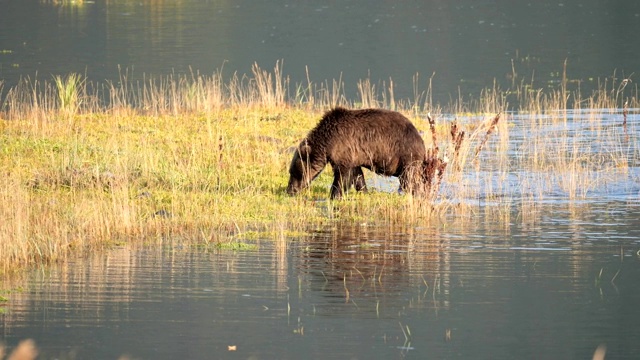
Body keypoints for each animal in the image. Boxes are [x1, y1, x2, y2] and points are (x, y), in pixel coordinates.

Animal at [288, 107, 430, 200]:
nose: (290, 190)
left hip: (405, 154)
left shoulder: (343, 148)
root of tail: (420, 138)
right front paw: (363, 191)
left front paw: (334, 195)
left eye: (294, 172)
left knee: (410, 179)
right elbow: (357, 175)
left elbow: (342, 176)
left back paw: (418, 194)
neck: (327, 141)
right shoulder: (354, 155)